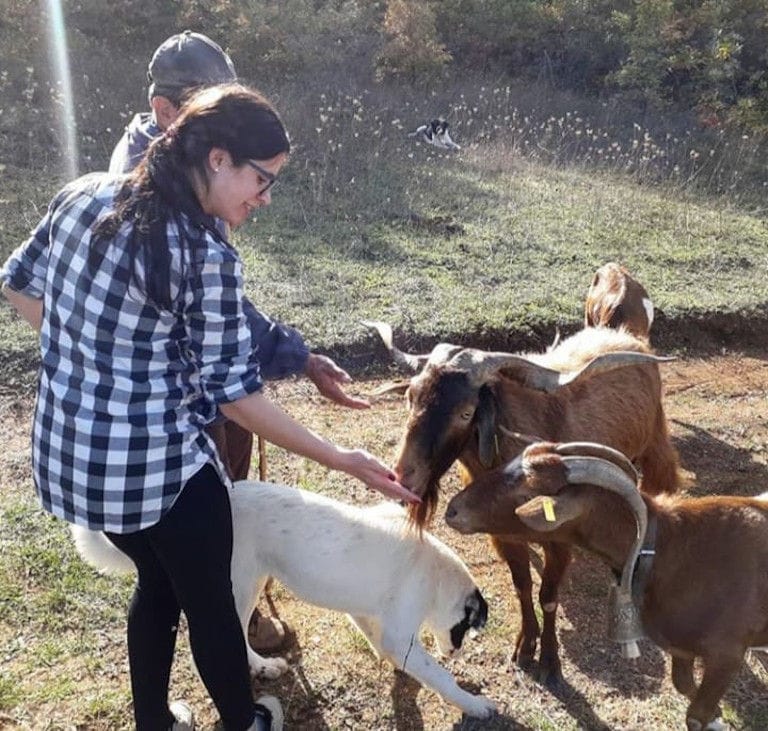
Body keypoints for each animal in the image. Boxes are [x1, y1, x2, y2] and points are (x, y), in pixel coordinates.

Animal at [69, 484, 496, 716]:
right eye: (464, 629)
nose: (456, 652)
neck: (435, 570)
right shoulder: (401, 627)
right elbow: (436, 675)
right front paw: (473, 704)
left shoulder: (362, 610)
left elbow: (379, 641)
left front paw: (397, 669)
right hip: (235, 585)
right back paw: (260, 667)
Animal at [366, 320, 684, 688]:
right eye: (410, 397)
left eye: (465, 412)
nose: (403, 478)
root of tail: (626, 335)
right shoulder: (504, 537)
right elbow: (523, 587)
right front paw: (524, 646)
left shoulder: (560, 542)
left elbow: (548, 597)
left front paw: (549, 661)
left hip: (655, 446)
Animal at [444, 440, 768, 731]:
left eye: (528, 490)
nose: (452, 510)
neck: (667, 547)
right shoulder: (682, 649)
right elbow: (684, 686)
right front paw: (718, 718)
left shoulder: (727, 655)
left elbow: (696, 716)